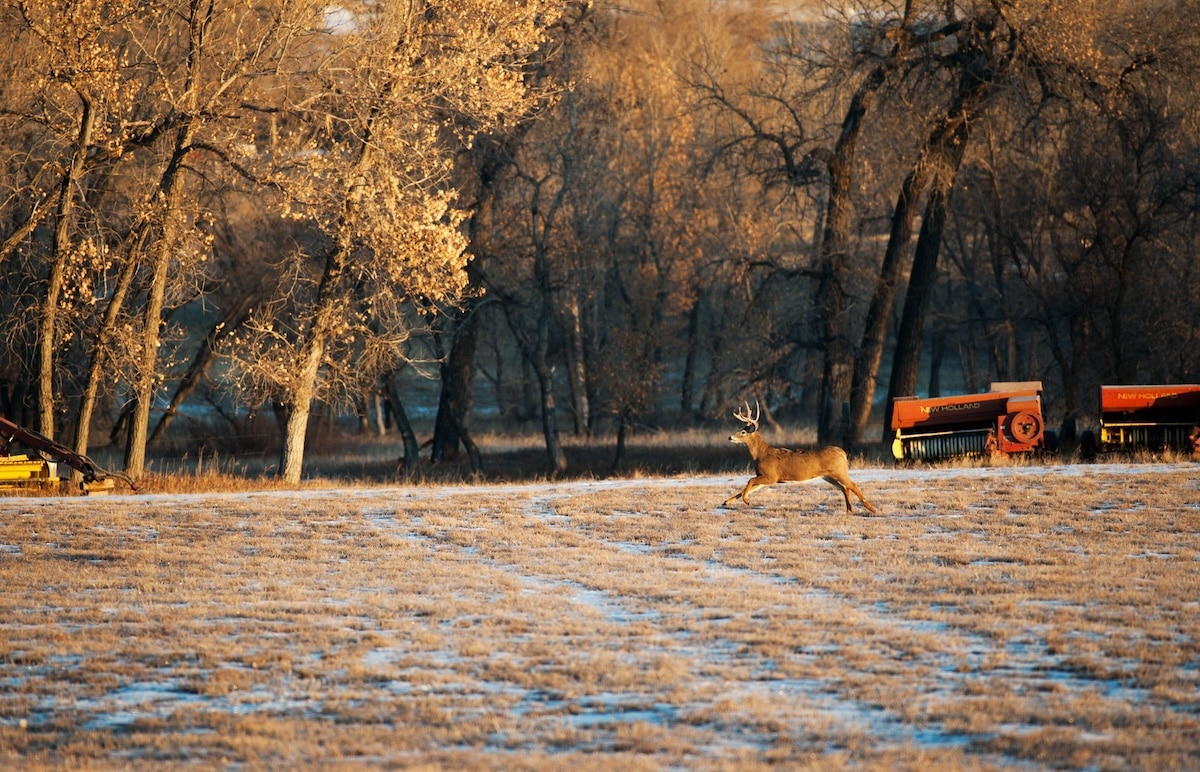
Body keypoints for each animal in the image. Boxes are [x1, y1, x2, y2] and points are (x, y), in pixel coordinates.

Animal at [723, 401, 878, 514]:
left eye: (743, 432)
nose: (729, 437)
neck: (761, 454)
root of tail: (843, 453)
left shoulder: (771, 475)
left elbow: (749, 481)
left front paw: (747, 501)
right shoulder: (766, 476)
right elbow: (749, 487)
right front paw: (726, 502)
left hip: (839, 471)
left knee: (852, 485)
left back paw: (871, 508)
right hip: (828, 476)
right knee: (844, 488)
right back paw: (849, 510)